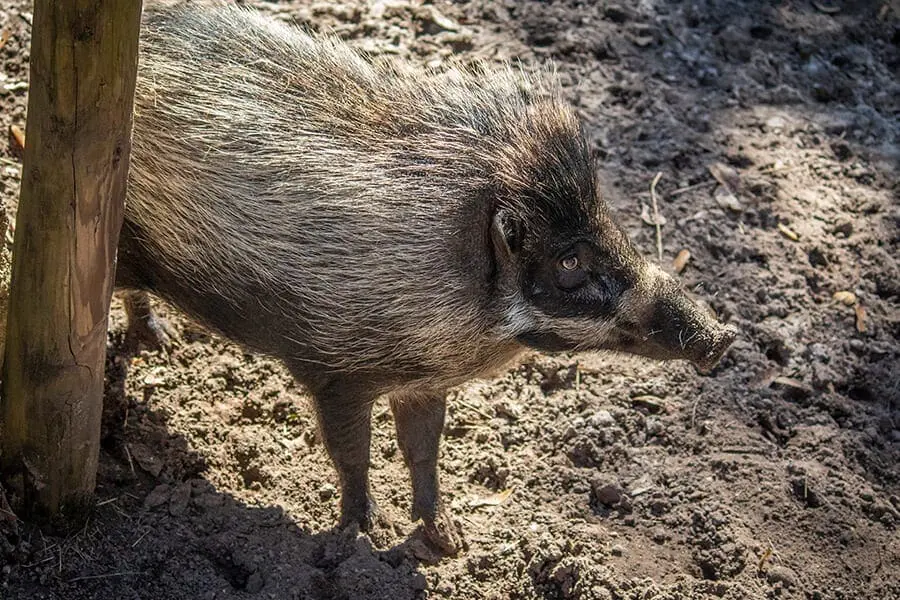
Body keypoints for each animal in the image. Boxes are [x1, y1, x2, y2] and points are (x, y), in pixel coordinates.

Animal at [118, 4, 740, 556]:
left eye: (611, 221)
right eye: (568, 264)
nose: (722, 337)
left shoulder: (423, 381)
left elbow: (424, 451)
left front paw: (448, 542)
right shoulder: (335, 371)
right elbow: (352, 455)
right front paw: (358, 539)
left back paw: (159, 345)